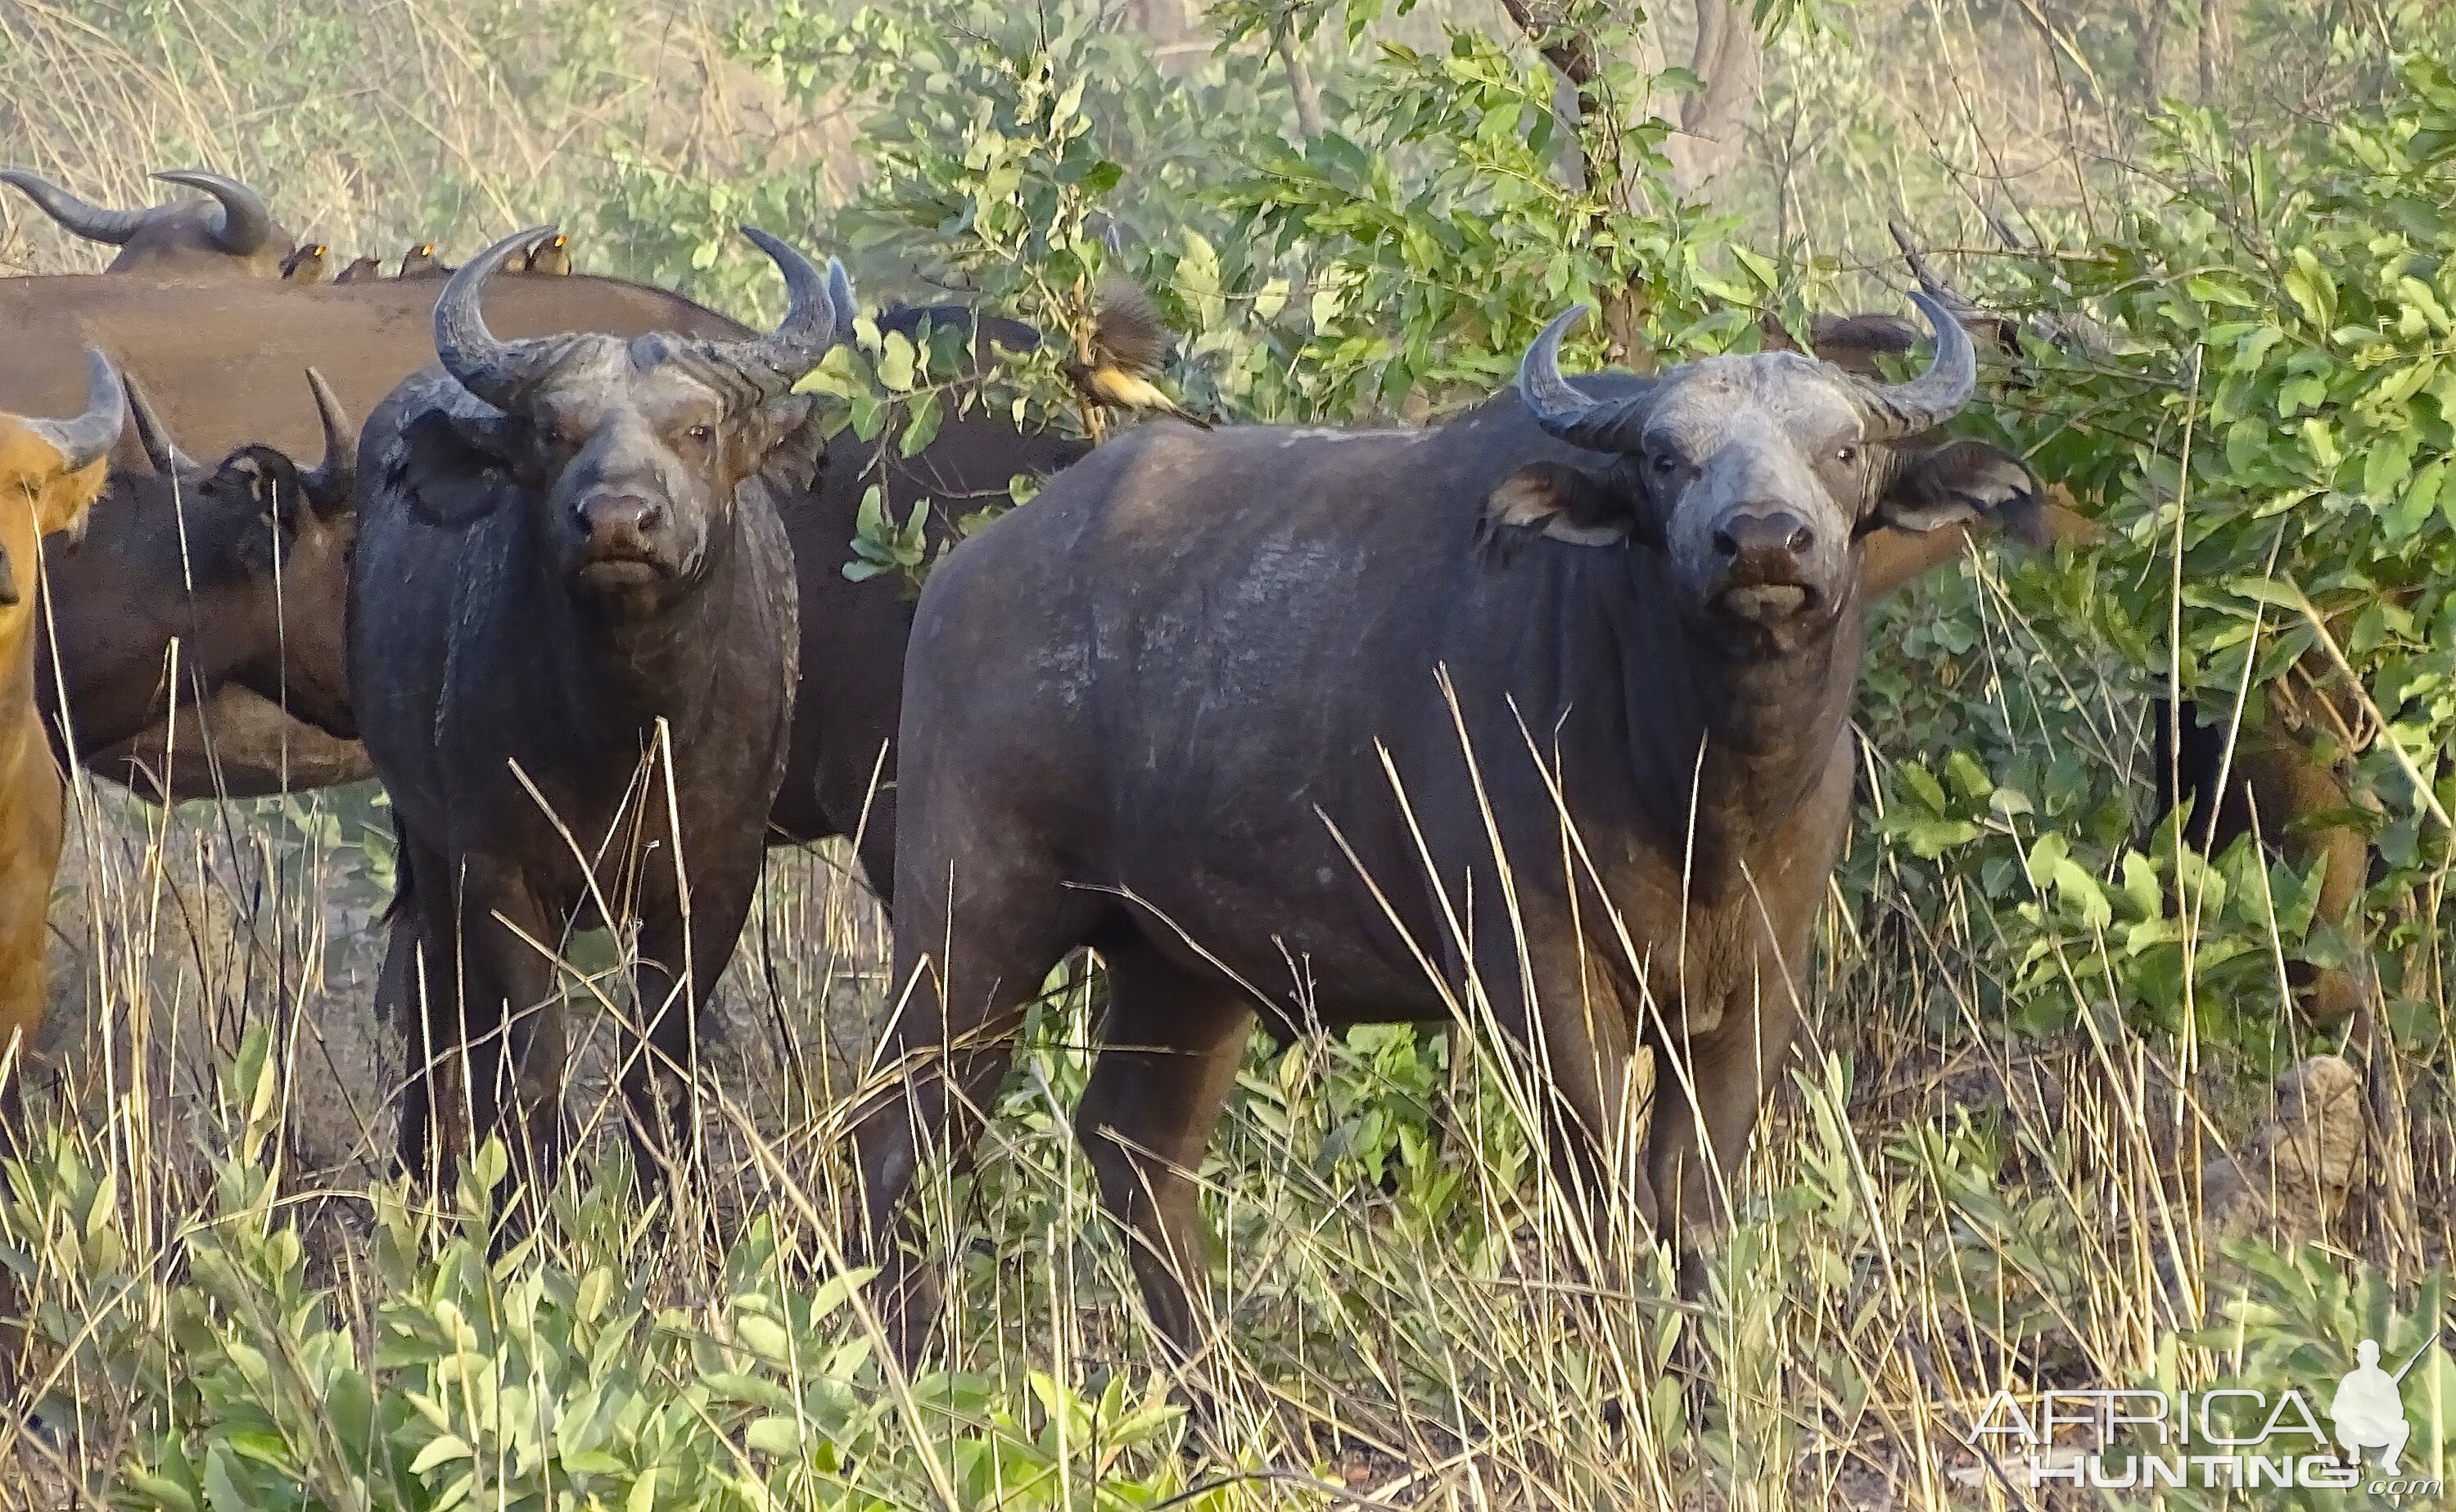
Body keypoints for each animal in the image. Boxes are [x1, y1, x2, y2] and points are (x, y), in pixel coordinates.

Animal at [346, 224, 845, 1183]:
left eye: (698, 430)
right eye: (552, 431)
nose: (616, 520)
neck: (627, 724)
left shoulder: (715, 878)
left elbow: (659, 1061)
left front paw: (676, 1198)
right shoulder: (497, 869)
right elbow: (533, 1058)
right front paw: (528, 1198)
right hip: (426, 844)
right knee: (441, 1009)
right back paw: (433, 1174)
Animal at [855, 289, 2043, 1355]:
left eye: (1841, 449)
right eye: (1667, 459)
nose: (1761, 543)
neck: (1701, 786)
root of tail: (962, 578)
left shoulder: (1761, 980)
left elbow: (1693, 1194)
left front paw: (1704, 1387)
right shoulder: (1543, 974)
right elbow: (1599, 1185)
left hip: (1183, 962)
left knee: (1139, 1146)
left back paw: (1214, 1398)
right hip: (971, 922)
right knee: (906, 1136)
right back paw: (918, 1364)